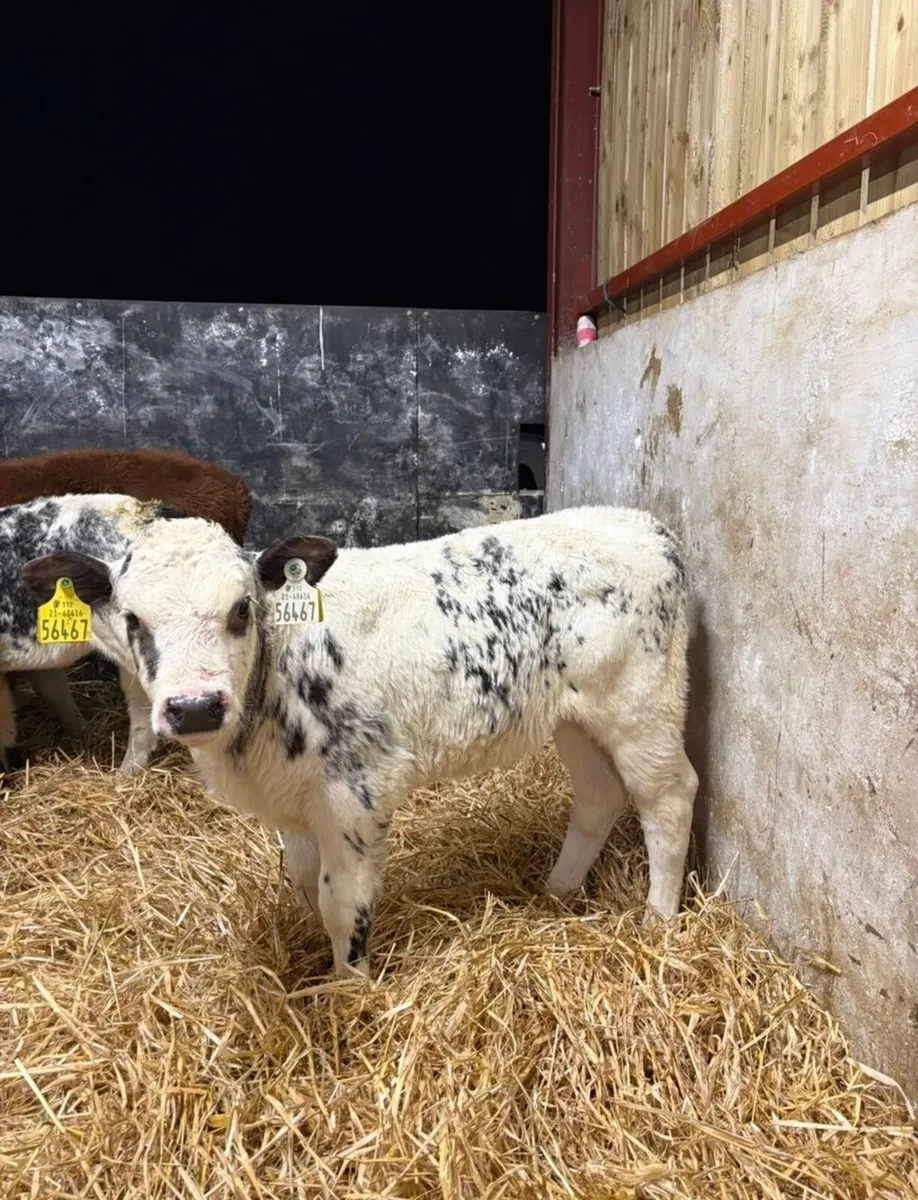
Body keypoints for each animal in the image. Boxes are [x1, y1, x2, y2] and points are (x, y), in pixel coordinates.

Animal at [22, 506, 699, 977]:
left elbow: (342, 903)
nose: (194, 707)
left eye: (242, 609)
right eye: (133, 619)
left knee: (668, 798)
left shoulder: (356, 797)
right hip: (574, 719)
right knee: (598, 797)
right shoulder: (293, 802)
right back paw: (555, 892)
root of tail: (643, 524)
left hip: (642, 707)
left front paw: (351, 989)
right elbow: (302, 880)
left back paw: (657, 922)